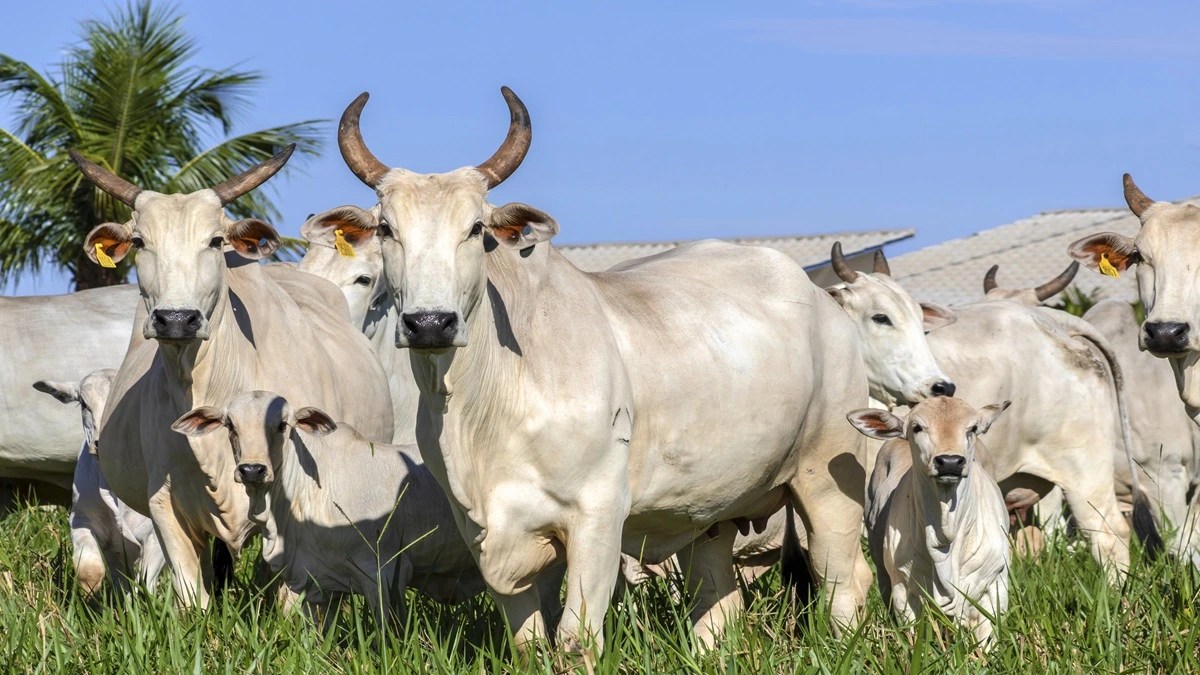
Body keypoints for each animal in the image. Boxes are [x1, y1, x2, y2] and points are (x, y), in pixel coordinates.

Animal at [33, 369, 164, 597]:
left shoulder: (156, 533)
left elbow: (146, 582)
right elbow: (90, 570)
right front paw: (91, 597)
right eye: (84, 404)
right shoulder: (81, 520)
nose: (102, 442)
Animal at [69, 146, 394, 608]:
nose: (177, 320)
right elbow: (192, 596)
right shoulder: (165, 507)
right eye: (140, 242)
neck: (211, 382)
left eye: (215, 241)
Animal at [322, 87, 874, 654]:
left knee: (844, 582)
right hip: (713, 513)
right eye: (386, 228)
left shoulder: (598, 516)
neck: (482, 407)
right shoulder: (484, 530)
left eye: (475, 228)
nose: (430, 323)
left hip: (828, 480)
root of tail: (822, 299)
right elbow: (528, 641)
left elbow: (576, 638)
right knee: (717, 601)